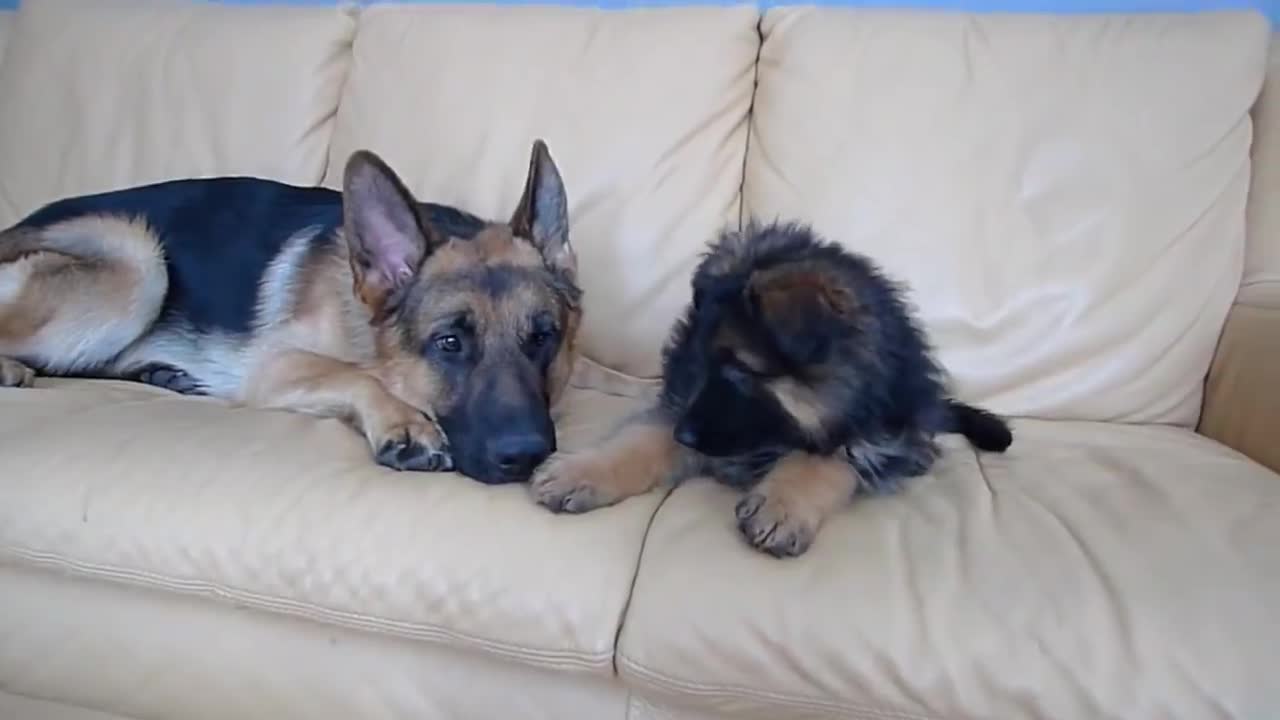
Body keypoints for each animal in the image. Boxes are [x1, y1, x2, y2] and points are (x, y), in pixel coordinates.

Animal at [0, 140, 581, 484]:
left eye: (543, 338)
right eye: (450, 343)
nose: (527, 456)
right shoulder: (275, 365)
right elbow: (355, 376)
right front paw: (404, 423)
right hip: (138, 260)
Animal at [529, 219, 1008, 556]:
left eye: (741, 369)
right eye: (704, 359)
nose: (685, 435)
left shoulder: (891, 439)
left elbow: (832, 457)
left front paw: (784, 504)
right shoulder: (680, 403)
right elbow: (640, 440)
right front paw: (581, 472)